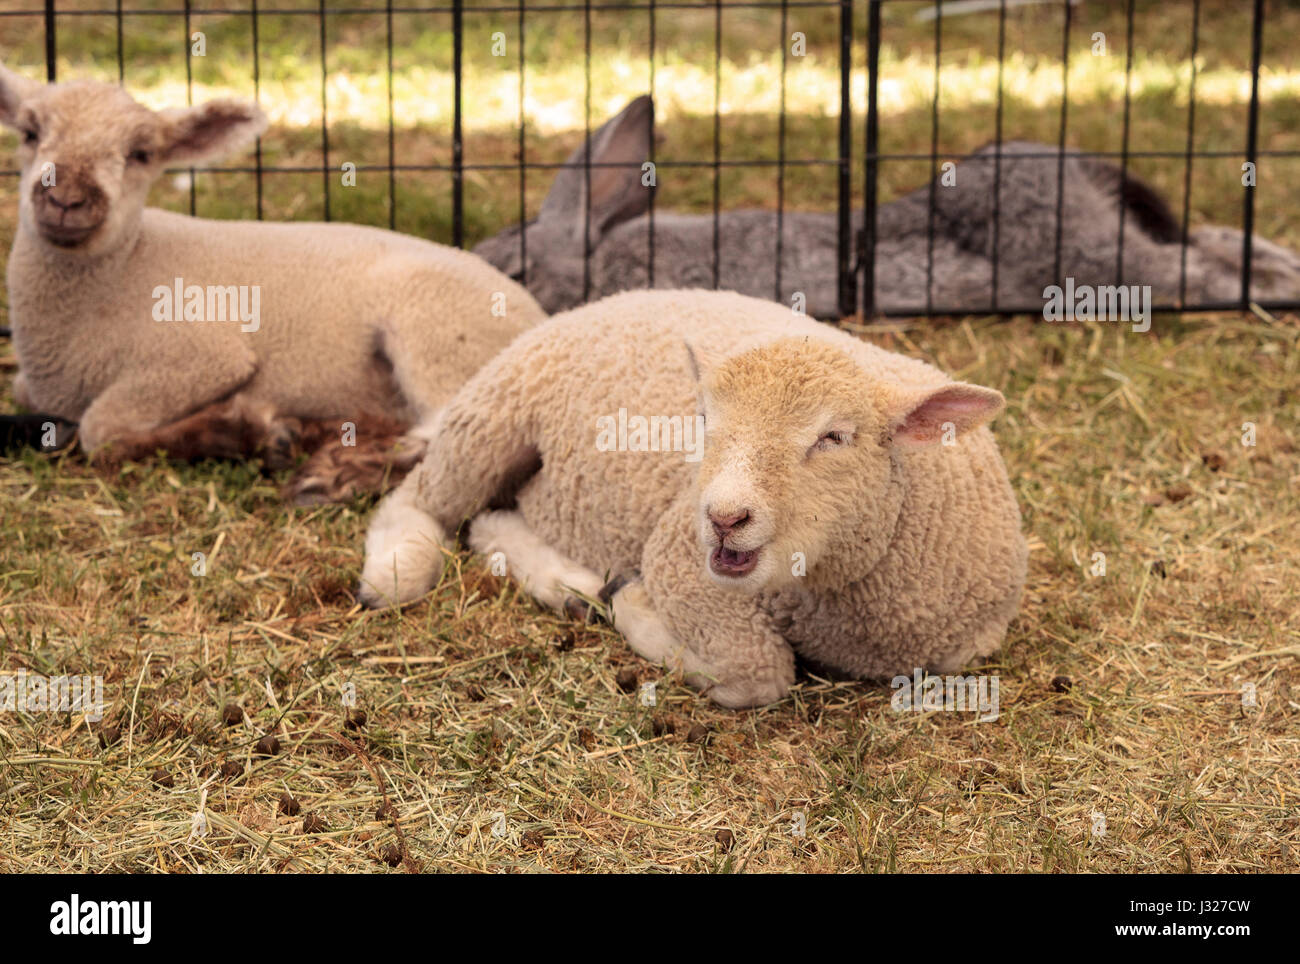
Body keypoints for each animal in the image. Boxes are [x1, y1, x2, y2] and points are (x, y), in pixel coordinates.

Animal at [0, 64, 546, 498]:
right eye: (29, 132)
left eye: (140, 153)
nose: (65, 199)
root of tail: (537, 317)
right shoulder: (37, 386)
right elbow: (34, 398)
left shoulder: (198, 358)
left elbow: (101, 430)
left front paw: (234, 431)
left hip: (437, 329)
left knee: (451, 432)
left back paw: (339, 474)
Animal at [359, 289, 1028, 708]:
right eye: (704, 420)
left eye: (834, 437)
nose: (724, 518)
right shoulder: (679, 552)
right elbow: (756, 671)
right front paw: (636, 606)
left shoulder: (972, 640)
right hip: (494, 412)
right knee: (420, 503)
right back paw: (397, 572)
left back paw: (561, 579)